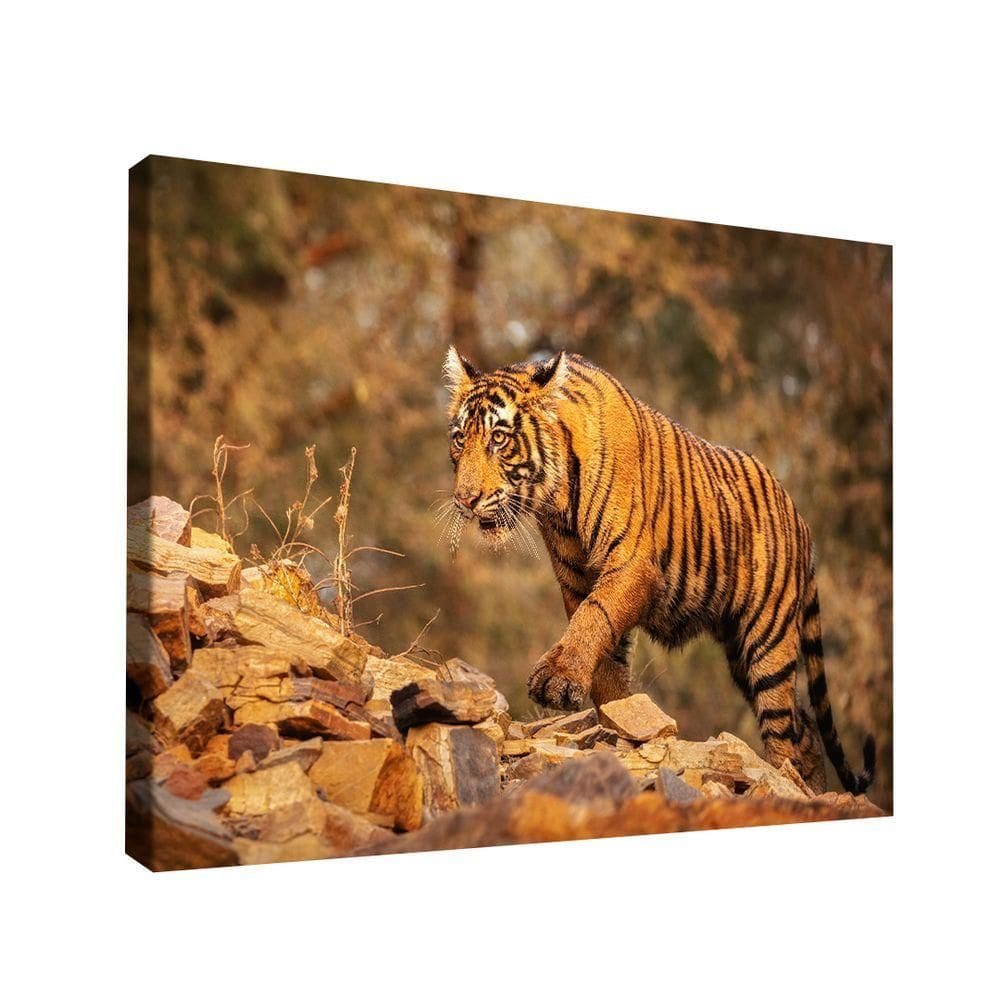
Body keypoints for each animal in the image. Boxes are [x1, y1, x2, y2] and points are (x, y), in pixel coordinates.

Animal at [442, 346, 876, 795]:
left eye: (499, 438)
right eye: (459, 439)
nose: (465, 499)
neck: (557, 501)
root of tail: (803, 522)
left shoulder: (632, 564)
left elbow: (594, 616)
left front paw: (557, 680)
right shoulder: (575, 578)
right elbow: (603, 652)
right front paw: (617, 717)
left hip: (767, 639)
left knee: (783, 727)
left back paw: (787, 782)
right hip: (740, 650)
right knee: (803, 724)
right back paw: (813, 788)